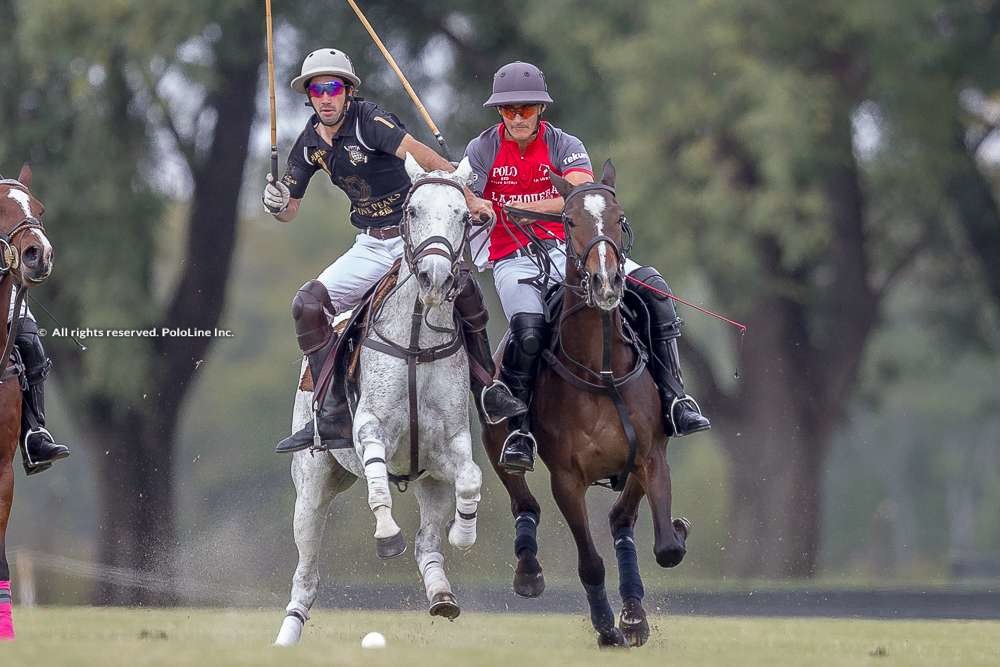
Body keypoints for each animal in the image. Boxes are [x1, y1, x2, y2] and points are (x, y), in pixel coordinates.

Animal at [482, 160, 688, 648]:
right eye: (570, 221)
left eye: (619, 216)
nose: (607, 282)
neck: (602, 370)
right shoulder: (567, 479)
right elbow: (590, 561)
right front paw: (606, 627)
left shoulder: (650, 455)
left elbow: (665, 547)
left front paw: (632, 617)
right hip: (493, 440)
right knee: (524, 502)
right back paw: (529, 571)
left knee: (619, 521)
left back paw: (633, 613)